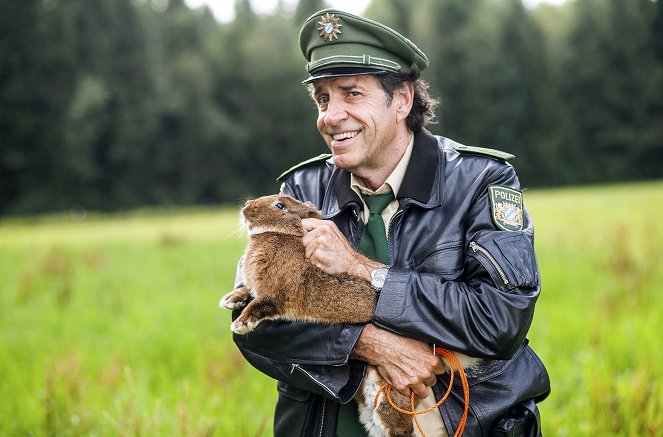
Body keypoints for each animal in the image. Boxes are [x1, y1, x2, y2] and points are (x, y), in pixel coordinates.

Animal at [222, 194, 420, 436]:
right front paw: (229, 300)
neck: (281, 234)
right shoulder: (258, 289)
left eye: (280, 205)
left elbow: (260, 305)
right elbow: (247, 292)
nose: (247, 208)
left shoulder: (277, 295)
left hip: (385, 391)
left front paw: (241, 324)